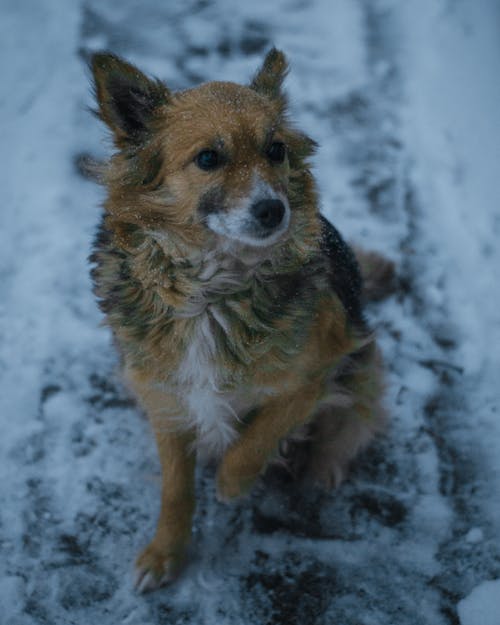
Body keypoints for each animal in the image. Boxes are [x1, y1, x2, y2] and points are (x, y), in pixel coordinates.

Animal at [89, 48, 390, 588]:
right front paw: (165, 554)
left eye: (276, 150)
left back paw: (321, 471)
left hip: (365, 369)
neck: (213, 292)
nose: (274, 210)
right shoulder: (164, 392)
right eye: (209, 158)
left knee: (349, 427)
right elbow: (175, 487)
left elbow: (260, 436)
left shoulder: (318, 372)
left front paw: (232, 483)